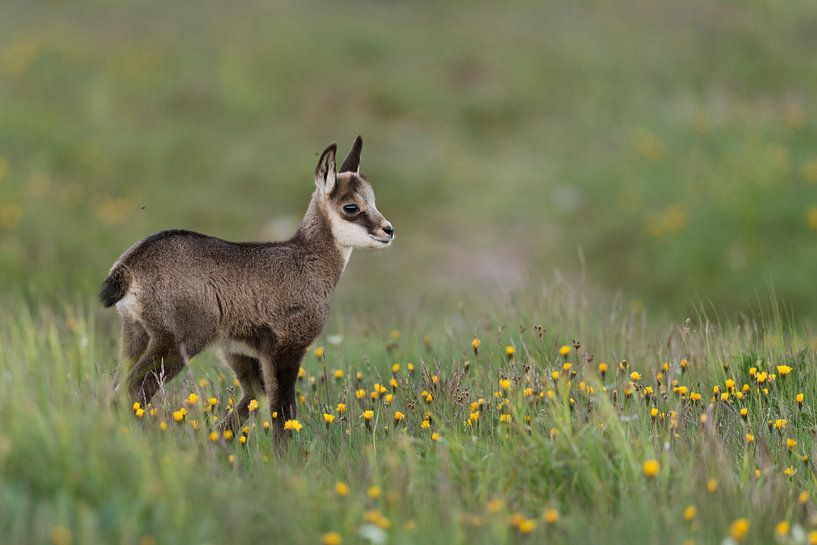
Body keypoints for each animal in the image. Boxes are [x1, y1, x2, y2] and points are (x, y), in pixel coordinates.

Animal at [98, 136, 394, 437]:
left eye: (373, 201)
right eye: (351, 206)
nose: (388, 231)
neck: (307, 260)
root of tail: (129, 266)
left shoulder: (240, 351)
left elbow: (254, 398)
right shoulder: (286, 348)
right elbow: (282, 412)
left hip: (136, 334)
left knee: (118, 387)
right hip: (176, 341)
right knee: (131, 390)